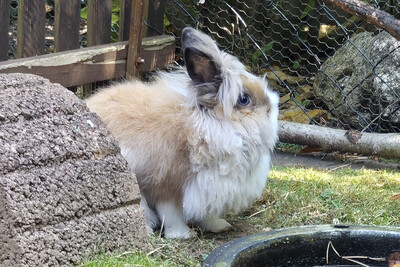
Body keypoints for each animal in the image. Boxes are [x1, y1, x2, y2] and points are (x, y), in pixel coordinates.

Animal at [85, 27, 278, 240]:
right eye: (244, 99)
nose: (273, 107)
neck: (206, 125)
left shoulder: (205, 191)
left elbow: (206, 214)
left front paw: (219, 225)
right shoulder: (166, 184)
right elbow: (171, 212)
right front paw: (181, 234)